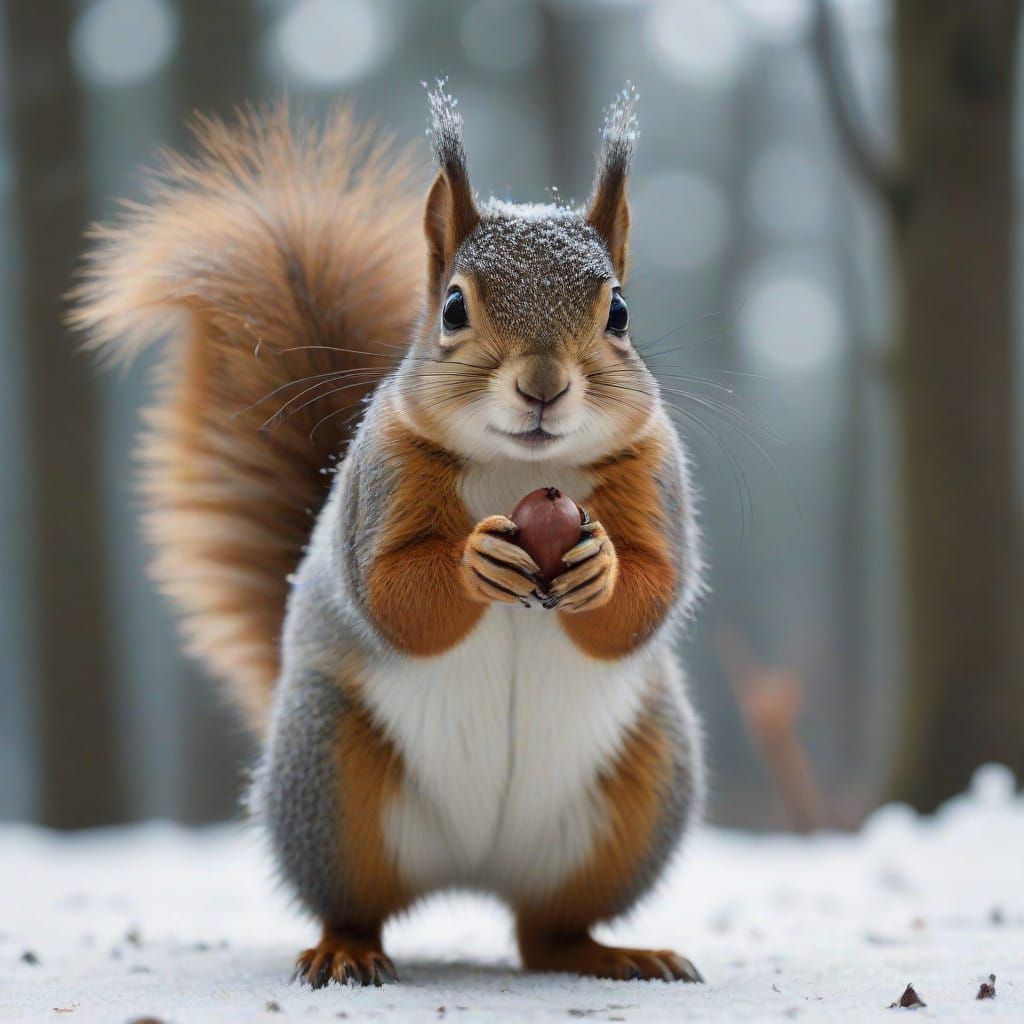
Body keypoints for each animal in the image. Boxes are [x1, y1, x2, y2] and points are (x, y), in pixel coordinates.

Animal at [70, 83, 705, 988]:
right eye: (453, 307)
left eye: (619, 311)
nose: (543, 386)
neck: (521, 468)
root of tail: (475, 868)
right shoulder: (383, 476)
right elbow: (391, 593)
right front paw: (475, 560)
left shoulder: (656, 476)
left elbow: (654, 588)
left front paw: (605, 569)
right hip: (330, 779)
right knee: (358, 902)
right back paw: (345, 951)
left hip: (637, 796)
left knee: (546, 931)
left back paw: (615, 953)